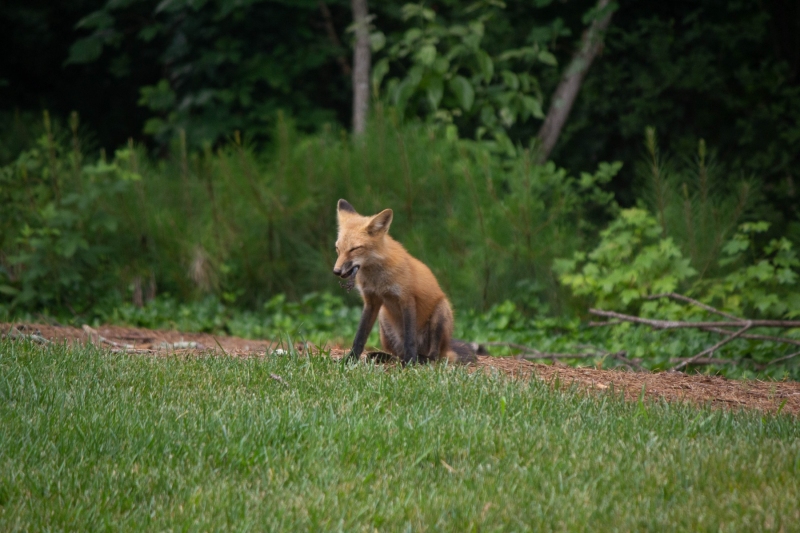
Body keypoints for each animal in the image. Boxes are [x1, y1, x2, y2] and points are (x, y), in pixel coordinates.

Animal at [332, 199, 477, 365]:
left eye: (354, 249)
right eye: (338, 249)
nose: (336, 271)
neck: (377, 279)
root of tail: (446, 349)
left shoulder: (406, 298)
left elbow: (409, 338)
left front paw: (410, 362)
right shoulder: (371, 301)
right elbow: (360, 336)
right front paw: (350, 359)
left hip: (441, 312)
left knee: (434, 356)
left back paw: (420, 359)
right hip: (383, 317)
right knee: (397, 353)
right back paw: (385, 357)